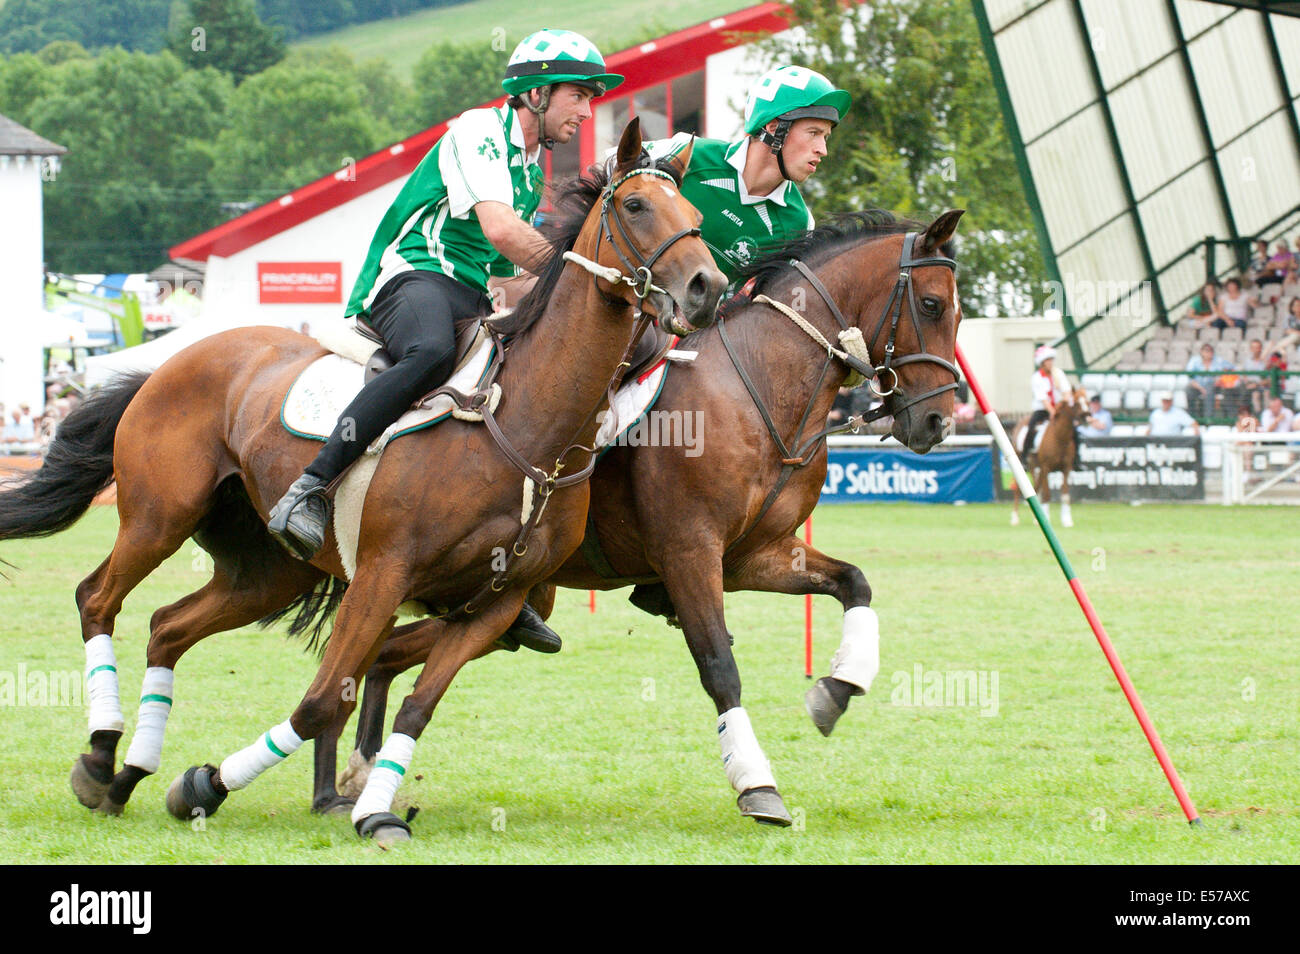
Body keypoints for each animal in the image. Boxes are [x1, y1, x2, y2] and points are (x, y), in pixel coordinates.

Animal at [0, 119, 728, 842]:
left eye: (696, 217)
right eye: (635, 206)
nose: (708, 287)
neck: (527, 426)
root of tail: (167, 364)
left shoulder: (492, 604)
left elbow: (414, 709)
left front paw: (375, 809)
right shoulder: (384, 574)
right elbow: (321, 702)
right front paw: (207, 783)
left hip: (266, 572)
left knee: (167, 627)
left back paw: (127, 775)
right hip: (158, 517)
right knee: (98, 599)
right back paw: (101, 753)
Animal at [314, 209, 967, 831]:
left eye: (960, 315)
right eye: (932, 305)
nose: (936, 421)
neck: (758, 384)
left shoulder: (756, 555)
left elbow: (854, 581)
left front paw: (838, 686)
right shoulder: (690, 551)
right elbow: (719, 665)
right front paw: (757, 785)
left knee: (386, 652)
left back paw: (359, 774)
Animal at [1008, 387, 1092, 530]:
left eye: (1087, 401)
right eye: (1076, 403)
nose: (1087, 417)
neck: (1059, 437)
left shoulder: (1066, 469)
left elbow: (1065, 495)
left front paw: (1067, 520)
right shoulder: (1046, 468)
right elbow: (1047, 495)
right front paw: (1046, 518)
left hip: (1035, 467)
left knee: (1036, 488)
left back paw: (1036, 518)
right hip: (1023, 466)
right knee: (1019, 490)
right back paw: (1015, 518)